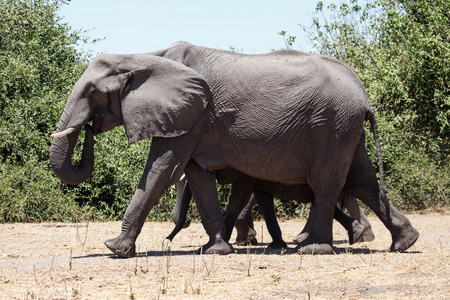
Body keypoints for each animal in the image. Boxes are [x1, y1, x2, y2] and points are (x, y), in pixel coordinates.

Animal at [49, 41, 418, 258]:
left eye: (94, 93)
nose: (89, 128)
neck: (144, 55)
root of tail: (364, 94)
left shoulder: (191, 114)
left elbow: (161, 171)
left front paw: (115, 248)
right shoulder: (192, 119)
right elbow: (197, 178)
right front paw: (214, 250)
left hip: (335, 126)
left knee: (328, 183)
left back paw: (312, 249)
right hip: (346, 131)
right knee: (363, 181)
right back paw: (405, 242)